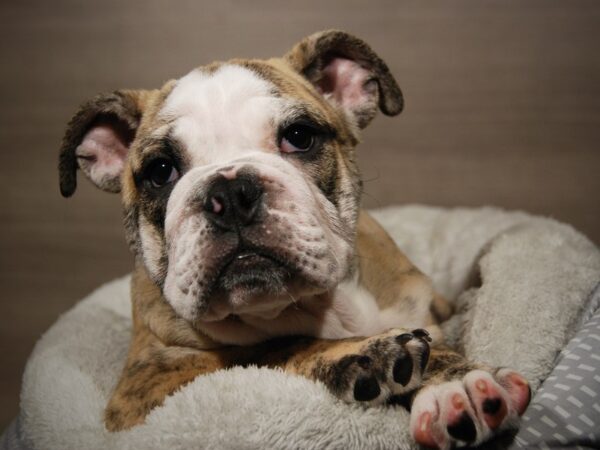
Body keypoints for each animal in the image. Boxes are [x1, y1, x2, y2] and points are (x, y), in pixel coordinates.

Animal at [59, 29, 528, 448]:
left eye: (299, 136)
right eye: (160, 171)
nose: (230, 193)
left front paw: (455, 381)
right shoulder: (146, 385)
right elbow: (273, 350)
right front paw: (366, 356)